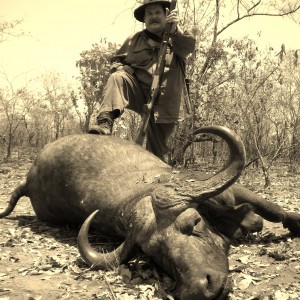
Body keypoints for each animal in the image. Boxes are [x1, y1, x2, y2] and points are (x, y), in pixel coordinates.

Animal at [0, 125, 300, 298]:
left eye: (195, 222)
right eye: (154, 254)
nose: (201, 288)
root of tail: (28, 181)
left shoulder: (231, 189)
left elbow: (272, 209)